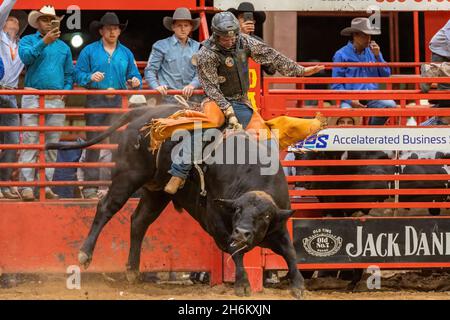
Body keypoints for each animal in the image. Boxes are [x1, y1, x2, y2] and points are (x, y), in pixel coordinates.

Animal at [45, 106, 304, 298]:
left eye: (265, 216)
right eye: (237, 210)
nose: (242, 233)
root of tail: (146, 111)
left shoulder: (279, 224)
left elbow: (290, 252)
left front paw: (298, 284)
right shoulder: (217, 224)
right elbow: (235, 252)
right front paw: (242, 284)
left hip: (157, 192)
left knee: (139, 221)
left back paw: (132, 270)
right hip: (128, 175)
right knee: (106, 208)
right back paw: (85, 254)